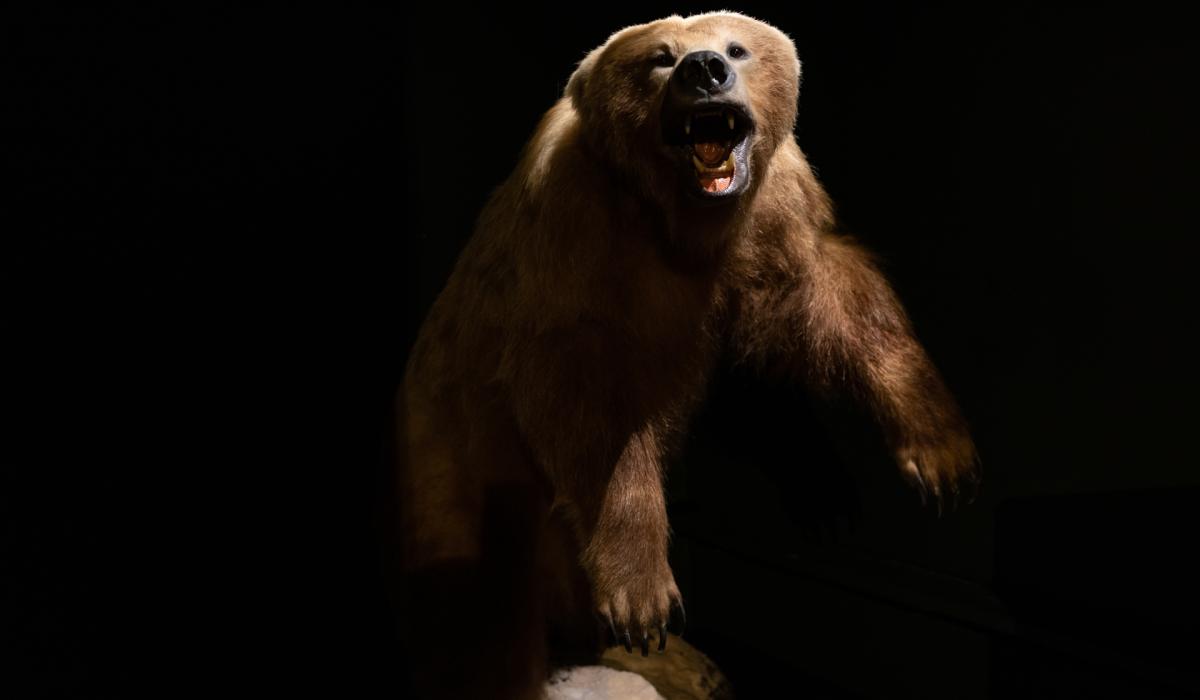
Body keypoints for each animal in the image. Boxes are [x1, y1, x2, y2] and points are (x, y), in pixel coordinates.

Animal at [397, 11, 978, 699]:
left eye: (738, 47)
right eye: (659, 56)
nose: (705, 70)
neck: (679, 219)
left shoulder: (775, 207)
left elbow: (825, 298)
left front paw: (930, 456)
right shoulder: (571, 232)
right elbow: (584, 400)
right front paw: (643, 598)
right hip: (455, 442)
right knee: (480, 595)